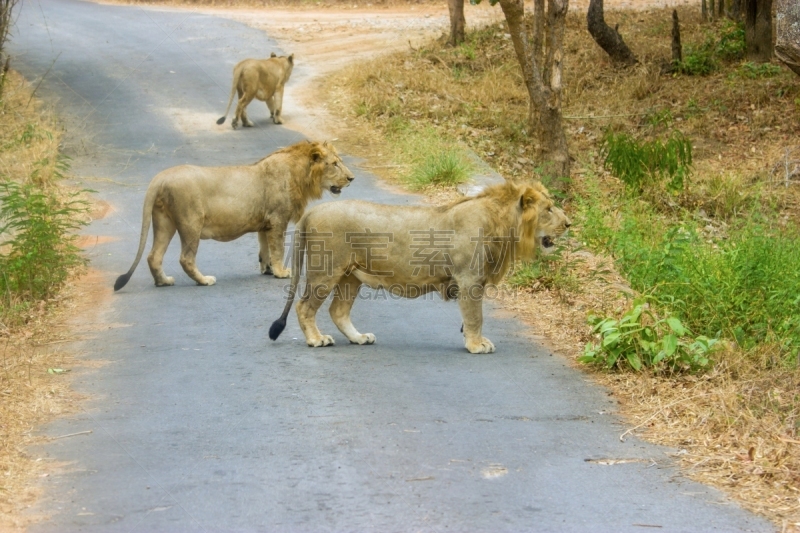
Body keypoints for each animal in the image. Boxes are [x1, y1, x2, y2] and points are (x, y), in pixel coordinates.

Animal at [112, 140, 354, 290]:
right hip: (191, 222)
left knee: (154, 256)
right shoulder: (277, 219)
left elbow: (264, 249)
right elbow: (277, 248)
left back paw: (163, 281)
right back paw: (204, 280)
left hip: (164, 222)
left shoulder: (265, 224)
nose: (351, 178)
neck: (301, 175)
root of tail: (160, 177)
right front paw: (280, 272)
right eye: (334, 164)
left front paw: (267, 269)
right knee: (186, 258)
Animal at [272, 181, 572, 352]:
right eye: (548, 209)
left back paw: (359, 338)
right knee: (304, 307)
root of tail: (313, 211)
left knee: (338, 311)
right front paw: (476, 345)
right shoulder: (469, 279)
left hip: (350, 276)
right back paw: (316, 340)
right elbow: (475, 317)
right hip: (327, 271)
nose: (569, 223)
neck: (504, 226)